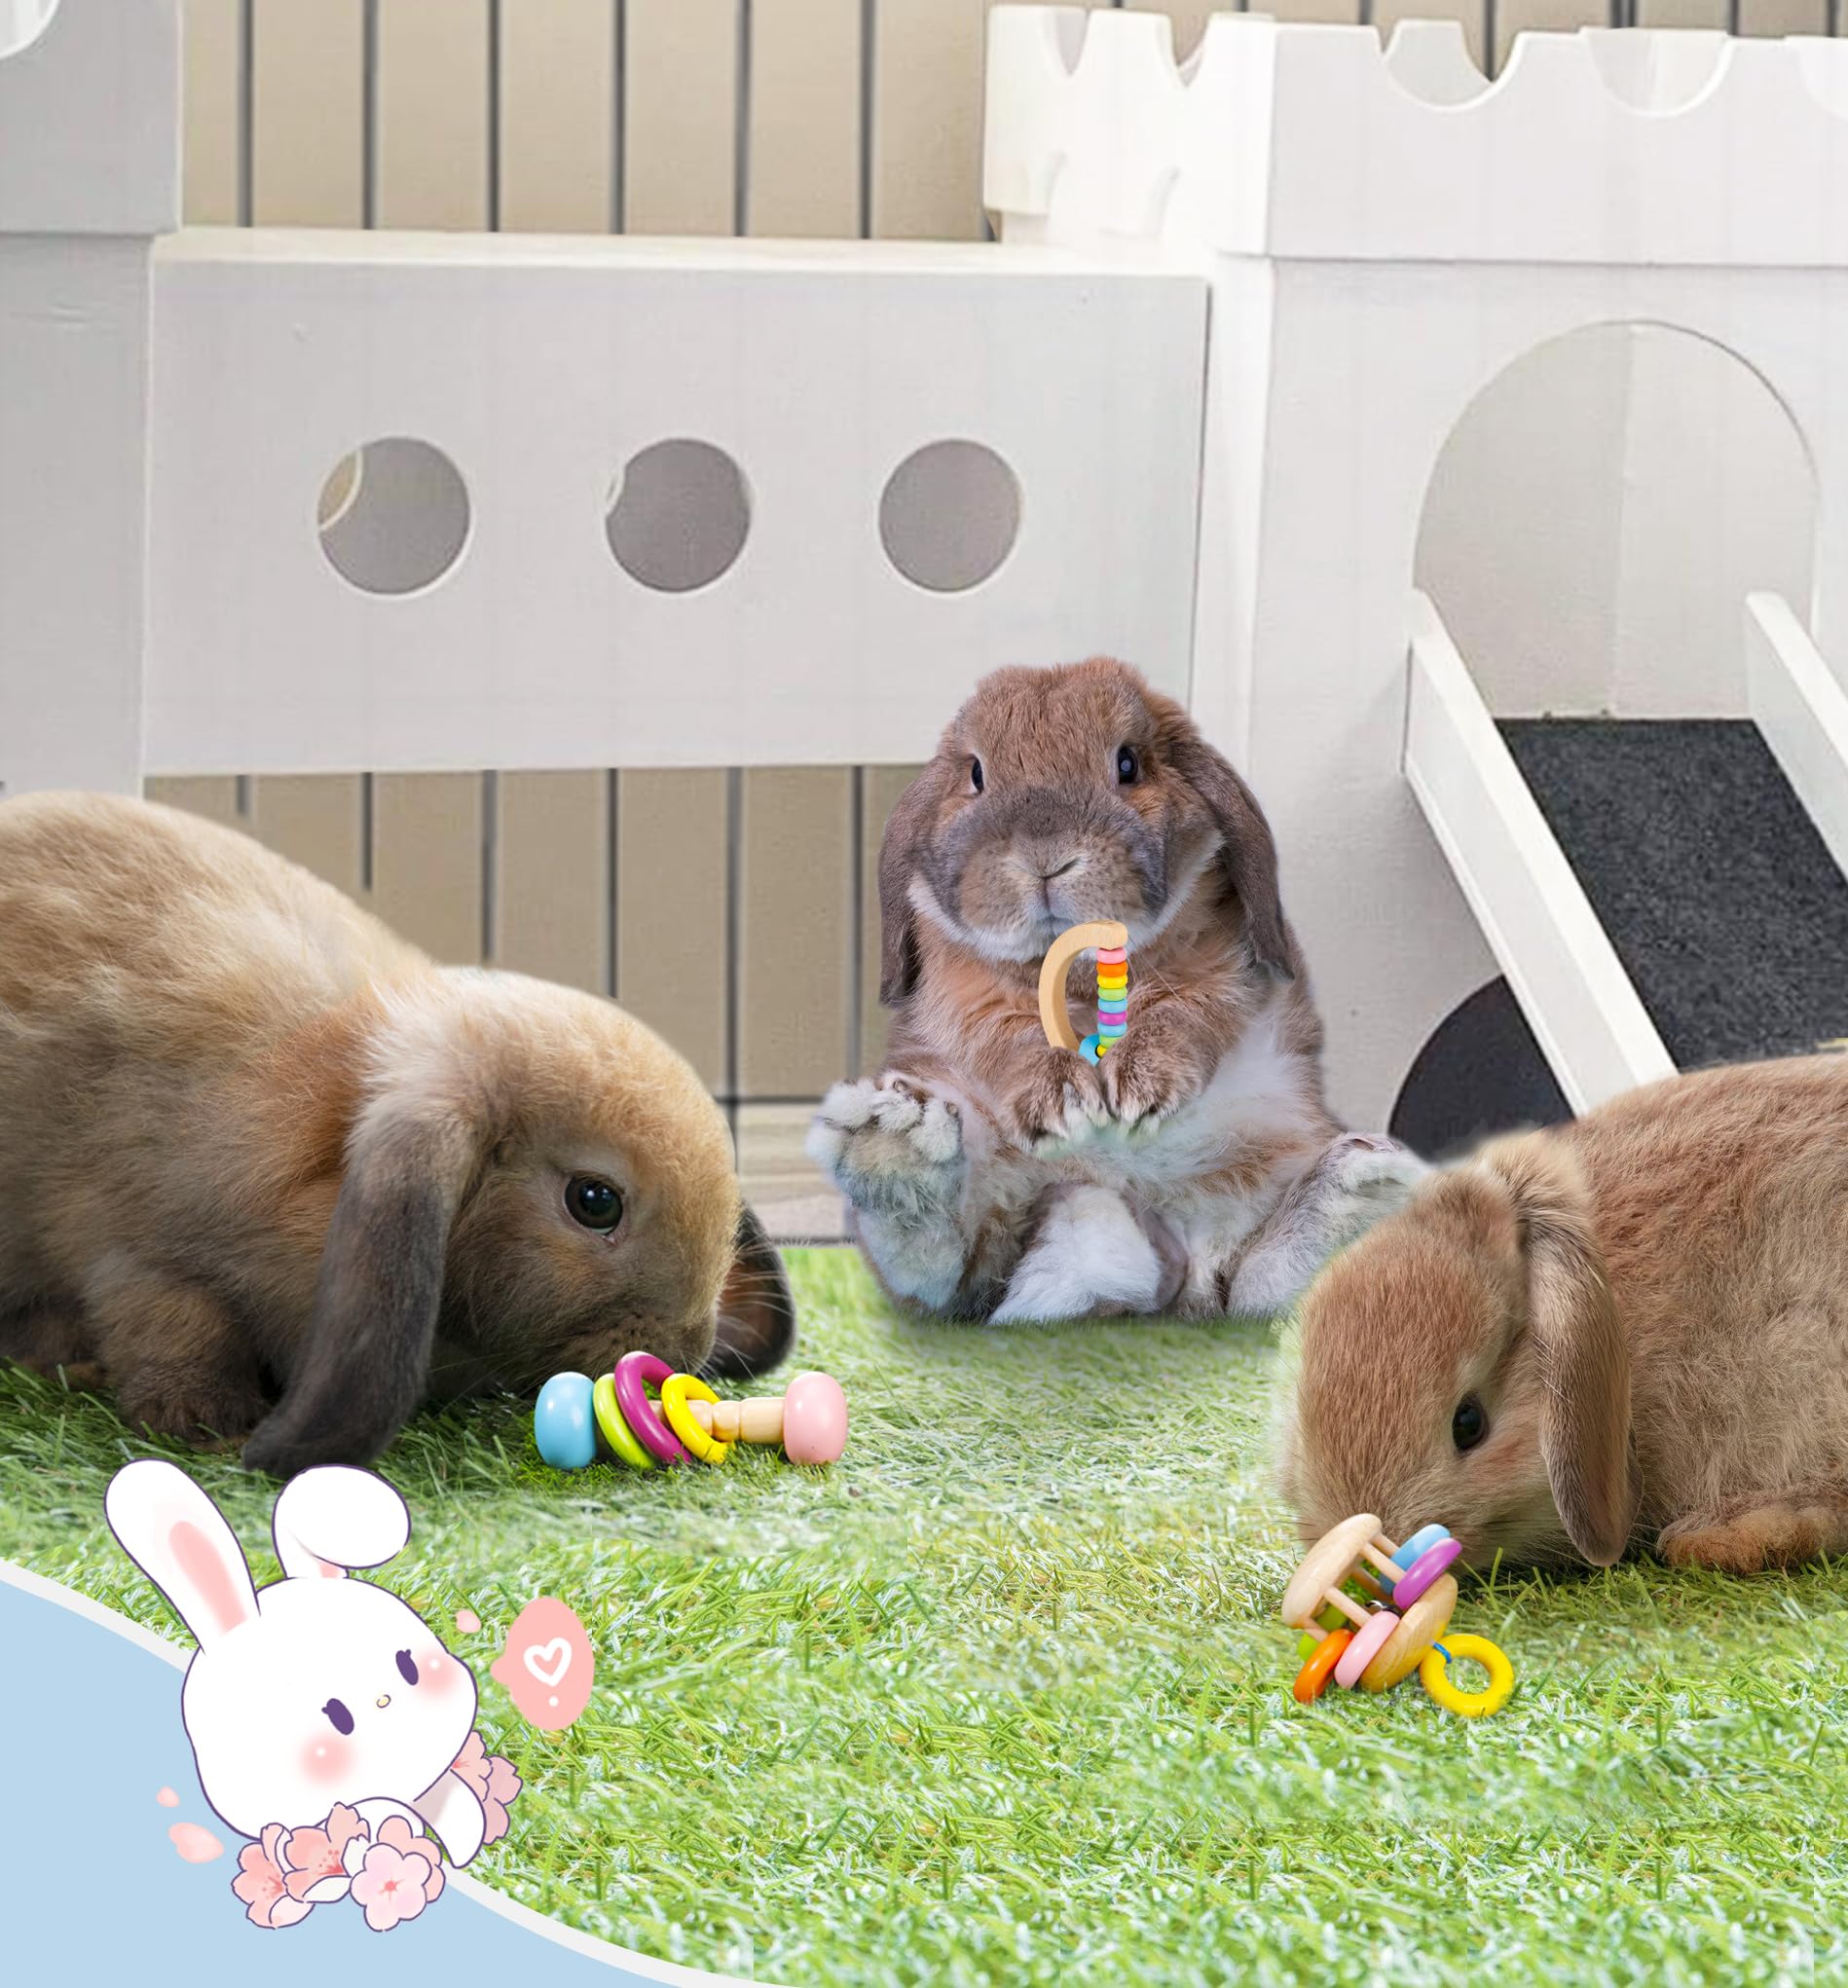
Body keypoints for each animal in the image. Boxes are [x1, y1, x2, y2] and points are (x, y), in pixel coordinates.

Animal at [807, 658, 1425, 1323]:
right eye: (975, 774)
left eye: (1128, 764)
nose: (1045, 858)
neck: (1074, 973)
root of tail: (1170, 1271)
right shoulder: (968, 999)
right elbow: (1012, 1036)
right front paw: (1066, 1104)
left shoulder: (1223, 973)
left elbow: (1181, 1012)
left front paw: (1139, 1093)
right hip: (1001, 1201)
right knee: (958, 1272)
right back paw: (892, 1145)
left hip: (1274, 1161)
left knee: (1256, 1284)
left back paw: (1365, 1188)